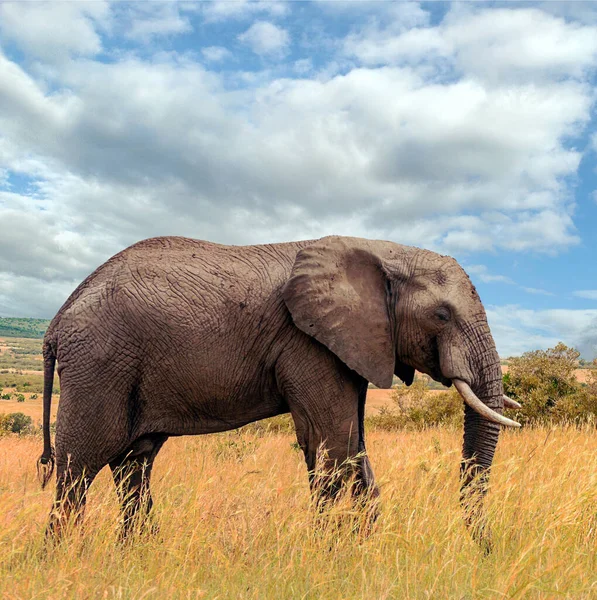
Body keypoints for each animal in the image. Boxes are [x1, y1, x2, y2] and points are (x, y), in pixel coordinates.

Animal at [37, 237, 516, 540]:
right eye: (441, 315)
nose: (484, 550)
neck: (385, 251)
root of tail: (57, 320)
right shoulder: (308, 343)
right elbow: (335, 444)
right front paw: (333, 555)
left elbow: (351, 445)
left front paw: (359, 550)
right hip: (98, 366)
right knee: (79, 470)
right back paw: (65, 558)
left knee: (133, 465)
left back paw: (138, 555)